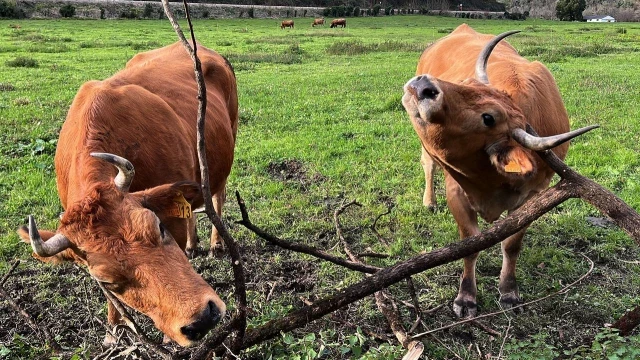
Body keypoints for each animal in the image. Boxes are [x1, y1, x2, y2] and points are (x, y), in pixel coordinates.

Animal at [18, 41, 238, 346]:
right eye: (107, 280)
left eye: (157, 227)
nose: (202, 320)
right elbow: (114, 302)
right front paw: (114, 331)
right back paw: (194, 245)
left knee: (216, 196)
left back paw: (216, 243)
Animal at [402, 23, 596, 318]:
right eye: (465, 83)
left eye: (488, 118)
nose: (423, 85)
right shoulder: (456, 191)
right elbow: (470, 245)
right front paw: (466, 297)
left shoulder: (533, 197)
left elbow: (512, 245)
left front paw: (508, 290)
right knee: (428, 164)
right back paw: (429, 202)